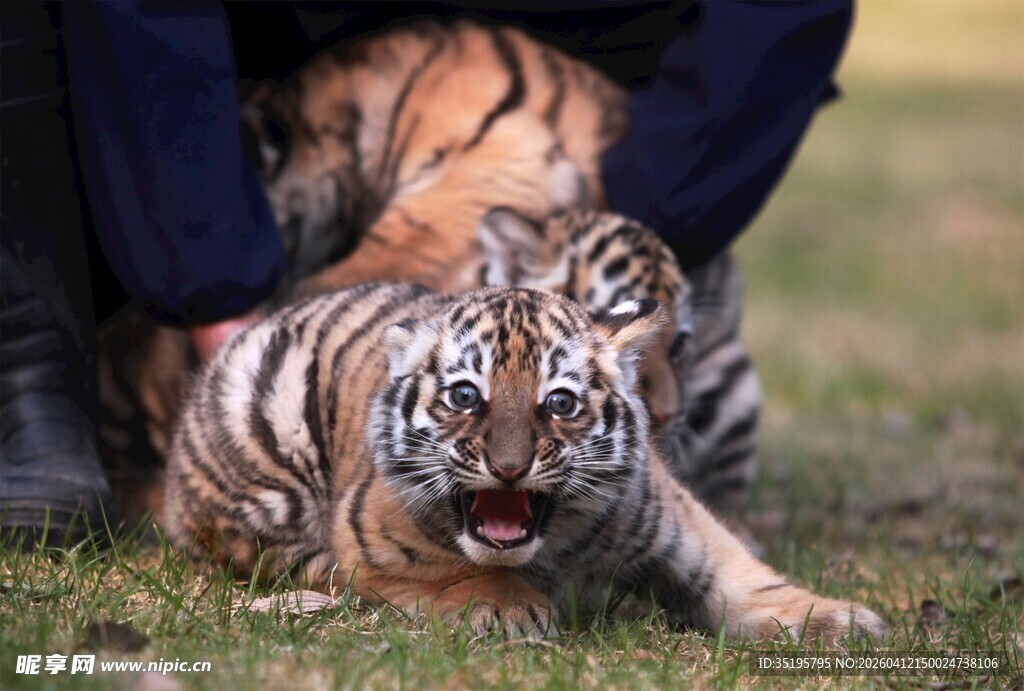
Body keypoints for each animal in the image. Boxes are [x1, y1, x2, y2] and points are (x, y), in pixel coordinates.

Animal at [164, 283, 884, 641]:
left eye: (559, 402)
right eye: (465, 395)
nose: (508, 468)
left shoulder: (669, 513)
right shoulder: (372, 539)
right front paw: (505, 607)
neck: (555, 547)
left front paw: (837, 619)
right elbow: (454, 571)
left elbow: (738, 572)